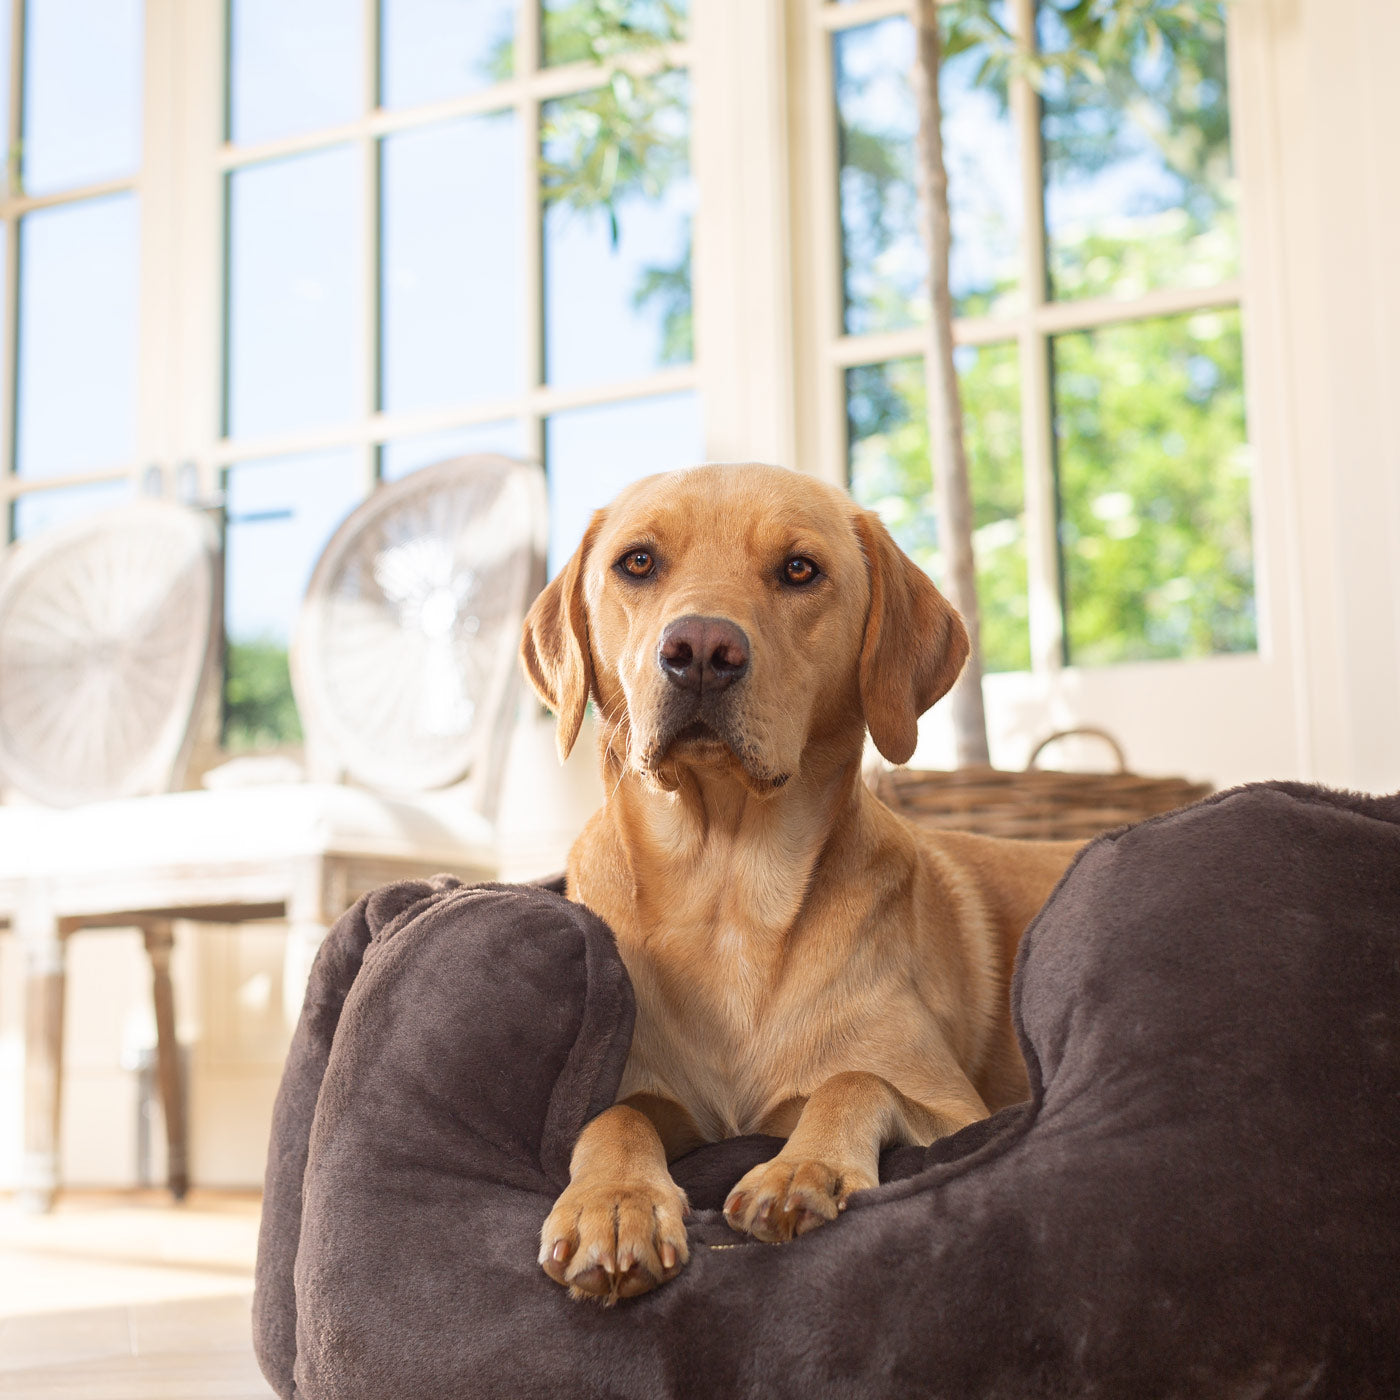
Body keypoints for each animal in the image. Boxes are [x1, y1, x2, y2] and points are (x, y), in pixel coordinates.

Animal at [520, 467, 1075, 1299]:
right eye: (638, 562)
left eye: (800, 570)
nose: (701, 650)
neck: (727, 888)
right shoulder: (648, 1091)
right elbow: (614, 1117)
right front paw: (613, 1203)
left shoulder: (959, 1112)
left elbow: (855, 1081)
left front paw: (804, 1169)